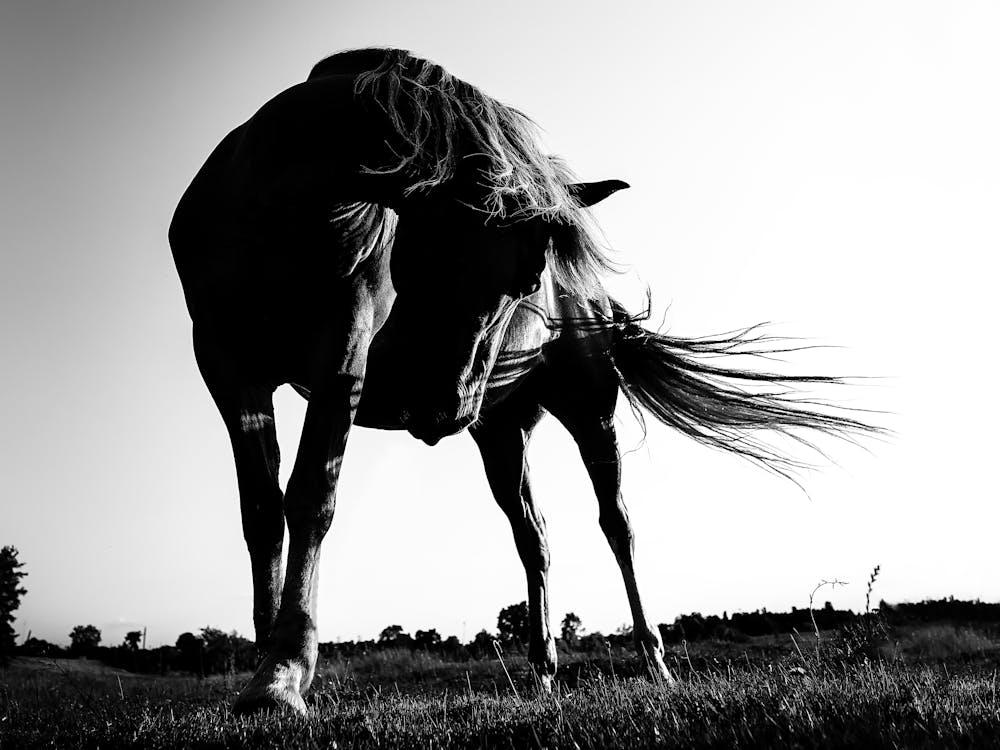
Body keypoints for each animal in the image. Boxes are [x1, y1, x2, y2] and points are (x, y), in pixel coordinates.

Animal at [171, 47, 877, 714]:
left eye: (528, 278)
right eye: (424, 252)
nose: (439, 410)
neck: (276, 205)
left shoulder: (341, 350)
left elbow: (311, 496)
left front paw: (285, 676)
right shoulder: (225, 366)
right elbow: (261, 511)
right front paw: (265, 666)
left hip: (590, 411)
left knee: (617, 524)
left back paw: (654, 662)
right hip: (503, 431)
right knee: (532, 538)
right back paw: (541, 672)